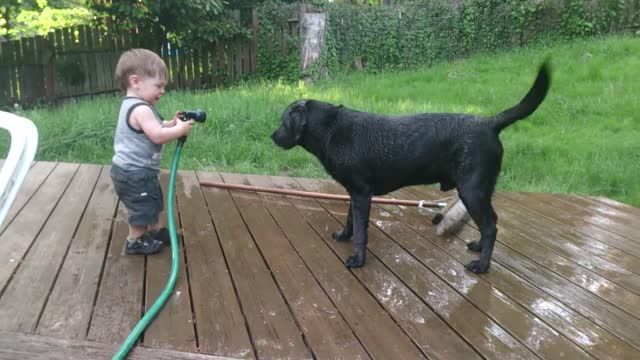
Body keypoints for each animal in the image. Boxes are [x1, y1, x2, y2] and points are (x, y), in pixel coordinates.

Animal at [270, 62, 552, 272]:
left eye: (284, 122)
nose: (272, 136)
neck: (333, 129)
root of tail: (490, 122)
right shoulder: (354, 193)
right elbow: (350, 221)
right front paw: (343, 235)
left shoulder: (362, 193)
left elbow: (361, 230)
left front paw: (357, 259)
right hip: (481, 190)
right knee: (489, 223)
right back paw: (479, 248)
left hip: (472, 190)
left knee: (491, 225)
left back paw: (481, 265)